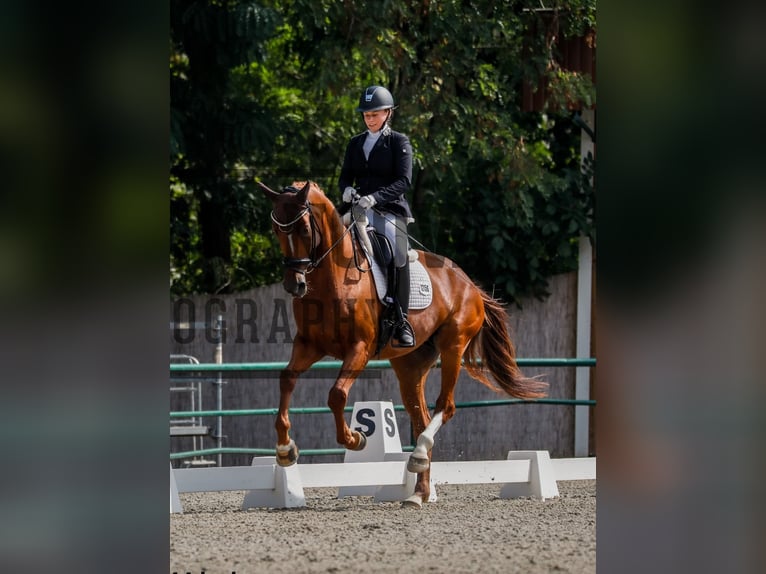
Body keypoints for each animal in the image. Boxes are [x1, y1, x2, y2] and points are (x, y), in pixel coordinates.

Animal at [260, 180, 548, 508]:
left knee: (445, 406)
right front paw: (285, 449)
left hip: (453, 347)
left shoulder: (359, 348)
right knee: (421, 418)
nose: (294, 285)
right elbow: (287, 378)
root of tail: (470, 283)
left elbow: (336, 395)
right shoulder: (309, 345)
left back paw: (418, 457)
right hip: (409, 366)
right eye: (276, 229)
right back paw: (419, 491)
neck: (333, 276)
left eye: (305, 229)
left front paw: (355, 439)